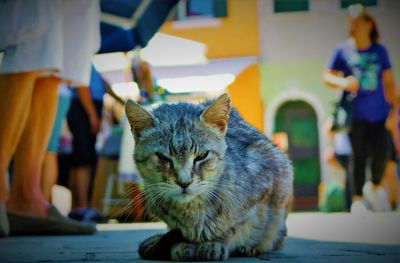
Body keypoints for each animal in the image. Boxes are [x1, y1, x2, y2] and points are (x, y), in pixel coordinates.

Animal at [125, 93, 294, 262]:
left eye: (201, 156)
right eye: (162, 157)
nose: (184, 182)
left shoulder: (267, 182)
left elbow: (234, 225)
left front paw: (215, 242)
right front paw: (186, 243)